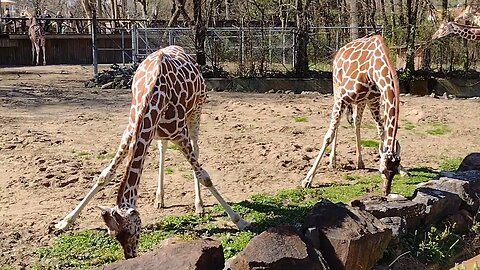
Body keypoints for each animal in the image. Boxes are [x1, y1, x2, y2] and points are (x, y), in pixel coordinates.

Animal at [56, 45, 249, 258]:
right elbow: (105, 175)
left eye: (131, 230)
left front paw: (240, 220)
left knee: (196, 148)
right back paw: (159, 199)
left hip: (196, 109)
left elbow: (205, 176)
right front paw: (64, 222)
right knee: (163, 149)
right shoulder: (131, 131)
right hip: (160, 132)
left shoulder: (179, 133)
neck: (153, 97)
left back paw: (199, 206)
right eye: (112, 234)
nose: (130, 256)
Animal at [302, 34, 404, 195]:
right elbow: (328, 136)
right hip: (337, 88)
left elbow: (381, 132)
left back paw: (359, 162)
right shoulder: (343, 97)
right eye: (382, 171)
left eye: (394, 173)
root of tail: (340, 51)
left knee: (357, 121)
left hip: (361, 100)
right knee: (337, 125)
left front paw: (404, 169)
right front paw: (308, 179)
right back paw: (332, 162)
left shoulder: (374, 100)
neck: (374, 70)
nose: (386, 191)